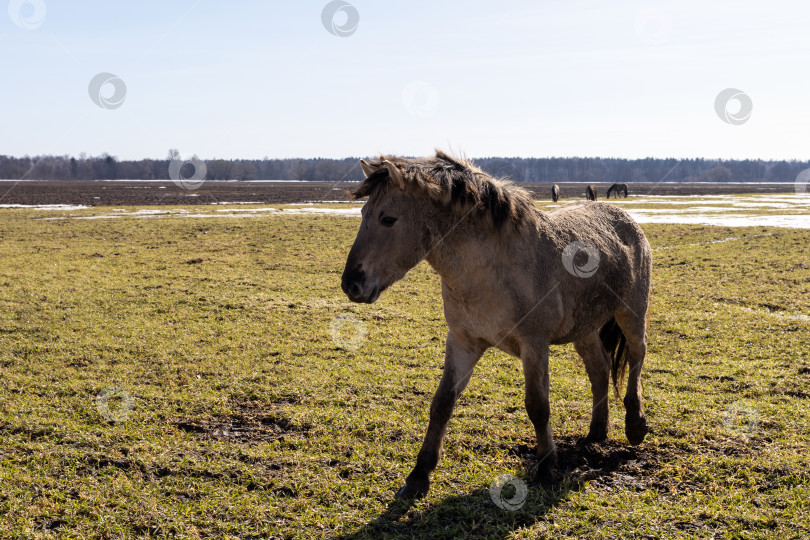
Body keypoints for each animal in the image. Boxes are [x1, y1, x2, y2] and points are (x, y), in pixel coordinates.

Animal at [341, 151, 651, 499]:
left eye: (388, 219)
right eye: (364, 213)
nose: (351, 283)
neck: (489, 270)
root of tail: (625, 218)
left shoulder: (534, 345)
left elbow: (538, 406)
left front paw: (547, 468)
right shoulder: (463, 341)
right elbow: (442, 403)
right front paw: (419, 476)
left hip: (631, 313)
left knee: (637, 356)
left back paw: (635, 424)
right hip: (583, 328)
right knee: (599, 369)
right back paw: (597, 432)